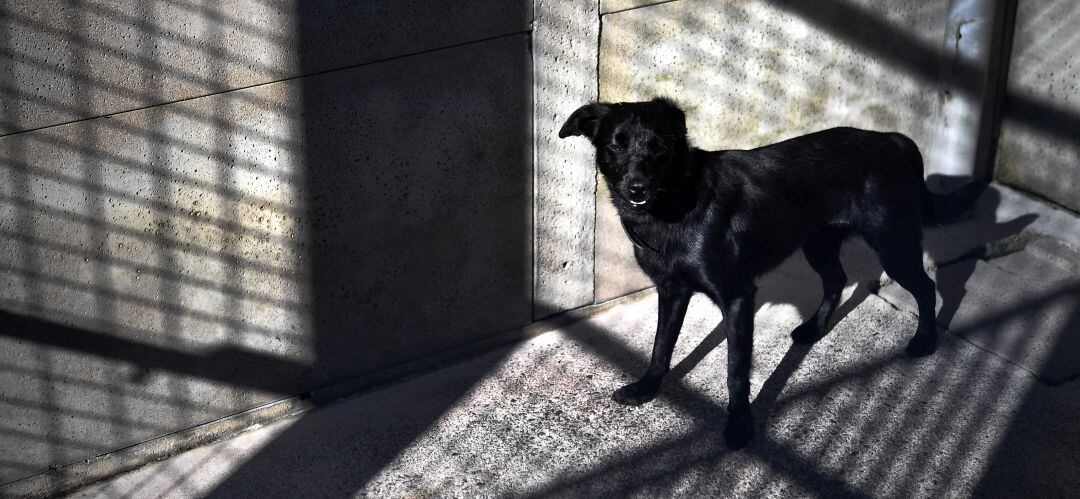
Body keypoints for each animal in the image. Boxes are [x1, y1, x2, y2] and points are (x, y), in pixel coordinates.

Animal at [557, 97, 989, 449]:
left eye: (660, 147)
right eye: (616, 144)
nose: (637, 188)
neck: (676, 200)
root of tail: (893, 140)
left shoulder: (737, 297)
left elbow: (735, 371)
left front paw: (740, 426)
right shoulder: (672, 290)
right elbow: (660, 346)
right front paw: (647, 388)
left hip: (892, 244)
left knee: (926, 286)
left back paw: (926, 341)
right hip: (819, 242)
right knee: (836, 280)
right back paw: (813, 330)